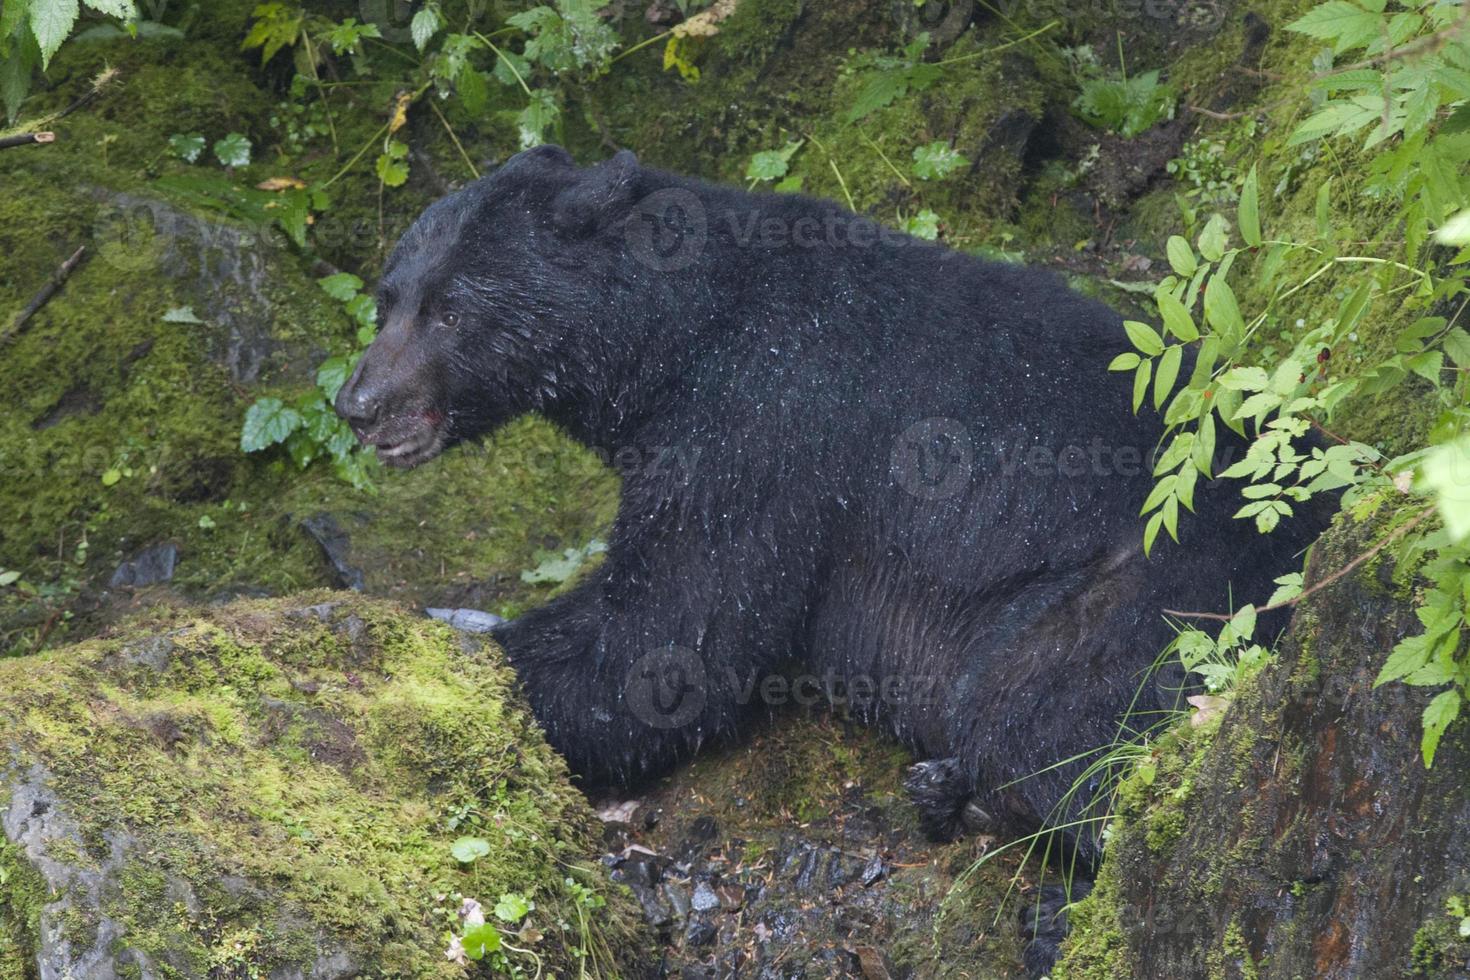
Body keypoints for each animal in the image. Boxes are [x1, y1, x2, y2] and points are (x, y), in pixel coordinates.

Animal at [338, 145, 1328, 975]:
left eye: (451, 308)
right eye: (388, 297)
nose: (359, 403)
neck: (676, 332)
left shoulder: (762, 431)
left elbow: (670, 645)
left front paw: (450, 653)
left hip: (1152, 593)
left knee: (1046, 714)